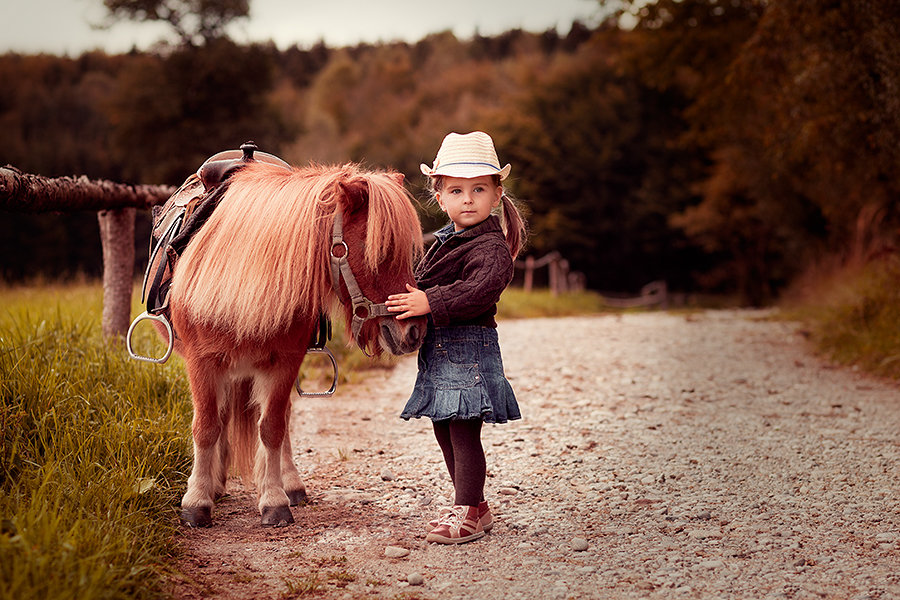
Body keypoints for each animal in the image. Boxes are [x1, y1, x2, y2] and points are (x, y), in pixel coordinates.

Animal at [170, 162, 428, 528]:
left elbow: (273, 428)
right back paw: (215, 485)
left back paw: (288, 484)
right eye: (381, 252)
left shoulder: (285, 362)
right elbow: (206, 427)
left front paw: (274, 500)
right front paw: (196, 502)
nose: (415, 331)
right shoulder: (201, 362)